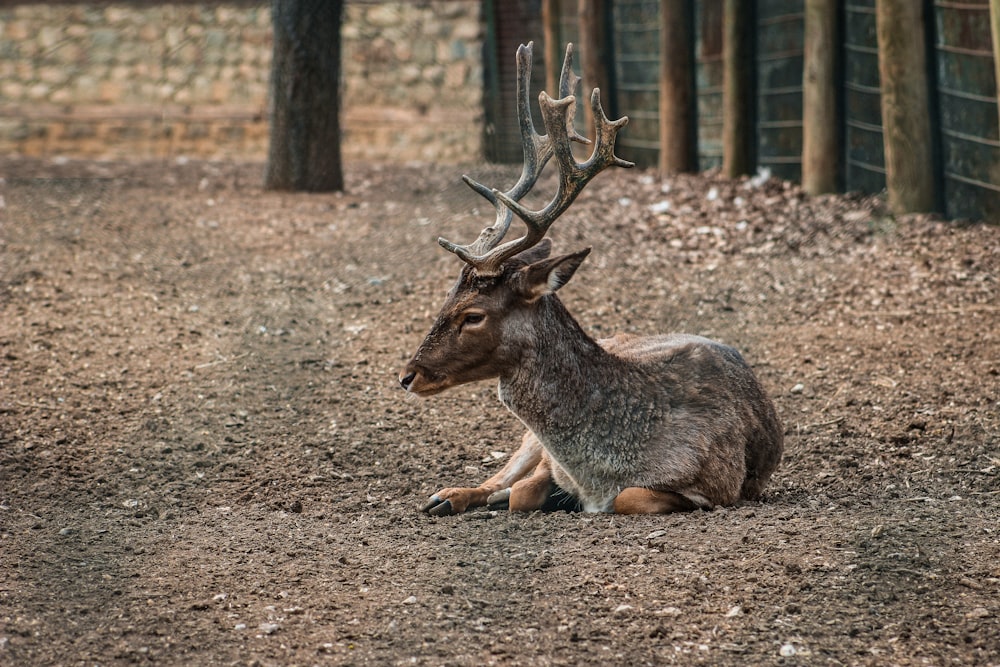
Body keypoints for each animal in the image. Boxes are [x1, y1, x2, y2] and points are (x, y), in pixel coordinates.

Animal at [398, 43, 780, 516]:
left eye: (472, 315)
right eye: (447, 299)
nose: (407, 376)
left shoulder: (720, 486)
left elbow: (628, 496)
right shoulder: (548, 459)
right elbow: (523, 492)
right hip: (527, 442)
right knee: (499, 477)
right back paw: (446, 496)